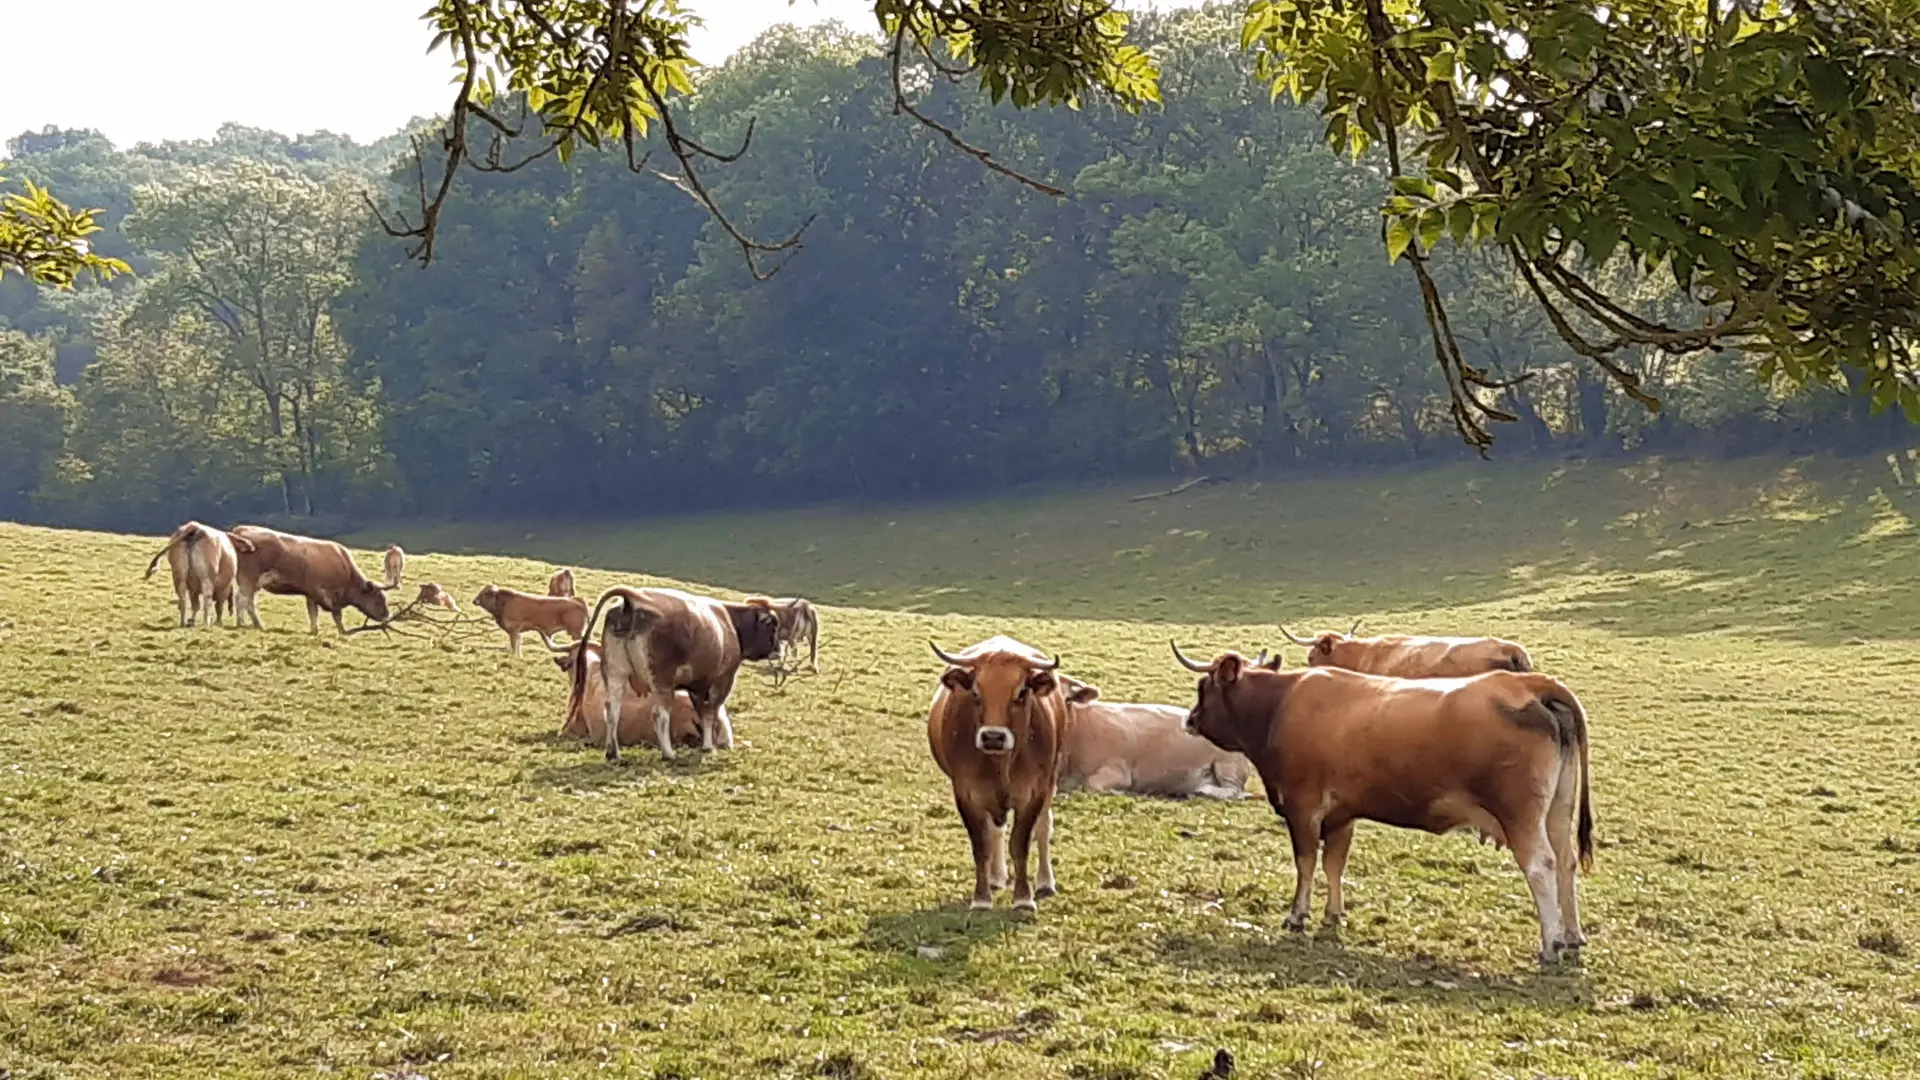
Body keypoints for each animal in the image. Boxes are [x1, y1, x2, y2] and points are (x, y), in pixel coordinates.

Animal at [229, 522, 393, 630]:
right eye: (379, 598)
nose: (387, 615)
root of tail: (241, 529)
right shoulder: (323, 593)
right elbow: (336, 615)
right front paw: (342, 632)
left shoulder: (310, 593)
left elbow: (313, 613)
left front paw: (315, 631)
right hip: (249, 580)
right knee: (245, 600)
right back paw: (255, 624)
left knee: (243, 599)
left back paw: (244, 623)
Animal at [568, 588, 779, 757]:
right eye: (772, 626)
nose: (778, 648)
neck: (728, 622)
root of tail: (633, 600)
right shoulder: (722, 679)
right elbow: (712, 712)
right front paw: (709, 746)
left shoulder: (697, 685)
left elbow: (704, 712)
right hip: (662, 682)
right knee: (659, 715)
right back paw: (668, 753)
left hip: (615, 673)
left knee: (612, 710)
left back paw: (613, 753)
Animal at [925, 630, 1075, 907]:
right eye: (976, 692)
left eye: (1021, 693)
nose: (993, 737)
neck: (1001, 763)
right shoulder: (966, 794)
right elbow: (981, 845)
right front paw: (982, 898)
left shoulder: (1034, 793)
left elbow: (1021, 843)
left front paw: (1023, 897)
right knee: (996, 830)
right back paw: (996, 877)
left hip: (1050, 783)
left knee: (1043, 827)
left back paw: (1045, 882)